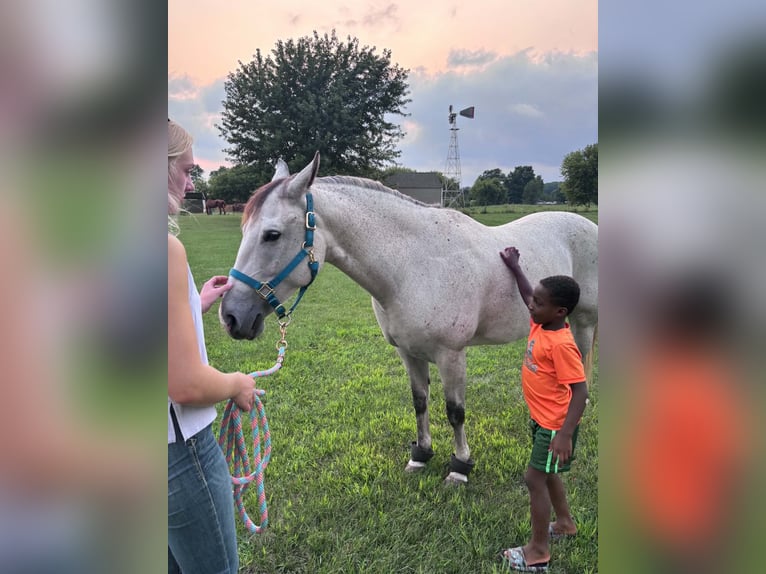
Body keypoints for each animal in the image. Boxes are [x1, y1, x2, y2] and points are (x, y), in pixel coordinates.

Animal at [220, 153, 598, 484]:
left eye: (272, 235)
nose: (232, 316)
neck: (413, 265)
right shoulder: (407, 351)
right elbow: (420, 402)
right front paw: (421, 455)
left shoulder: (451, 355)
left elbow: (455, 411)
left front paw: (460, 466)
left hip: (585, 321)